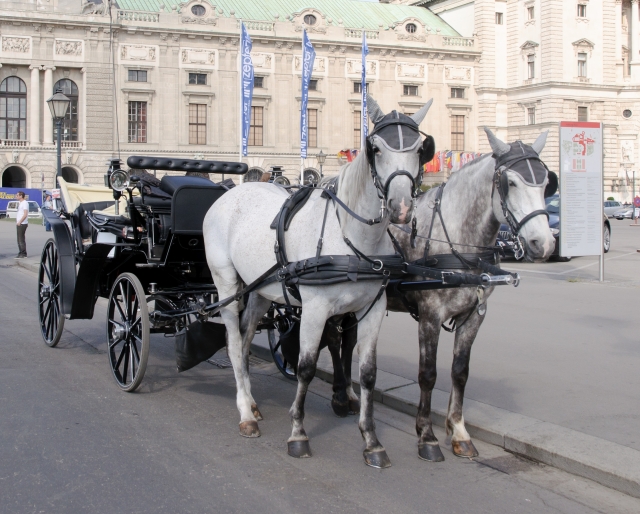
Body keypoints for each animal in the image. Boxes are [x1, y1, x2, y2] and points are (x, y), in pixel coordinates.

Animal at [203, 96, 433, 468]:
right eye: (376, 148)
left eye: (419, 149)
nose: (400, 207)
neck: (353, 240)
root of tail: (229, 193)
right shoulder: (314, 310)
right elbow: (306, 367)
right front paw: (298, 434)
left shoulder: (372, 310)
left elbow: (367, 373)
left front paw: (371, 440)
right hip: (226, 284)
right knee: (233, 342)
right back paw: (245, 414)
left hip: (260, 290)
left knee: (246, 335)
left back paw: (250, 401)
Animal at [329, 128, 557, 462]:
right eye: (511, 183)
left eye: (545, 182)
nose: (544, 244)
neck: (457, 242)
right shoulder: (430, 316)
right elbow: (428, 374)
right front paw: (426, 435)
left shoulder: (474, 316)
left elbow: (460, 372)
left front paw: (459, 431)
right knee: (336, 343)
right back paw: (338, 397)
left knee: (347, 344)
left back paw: (348, 393)